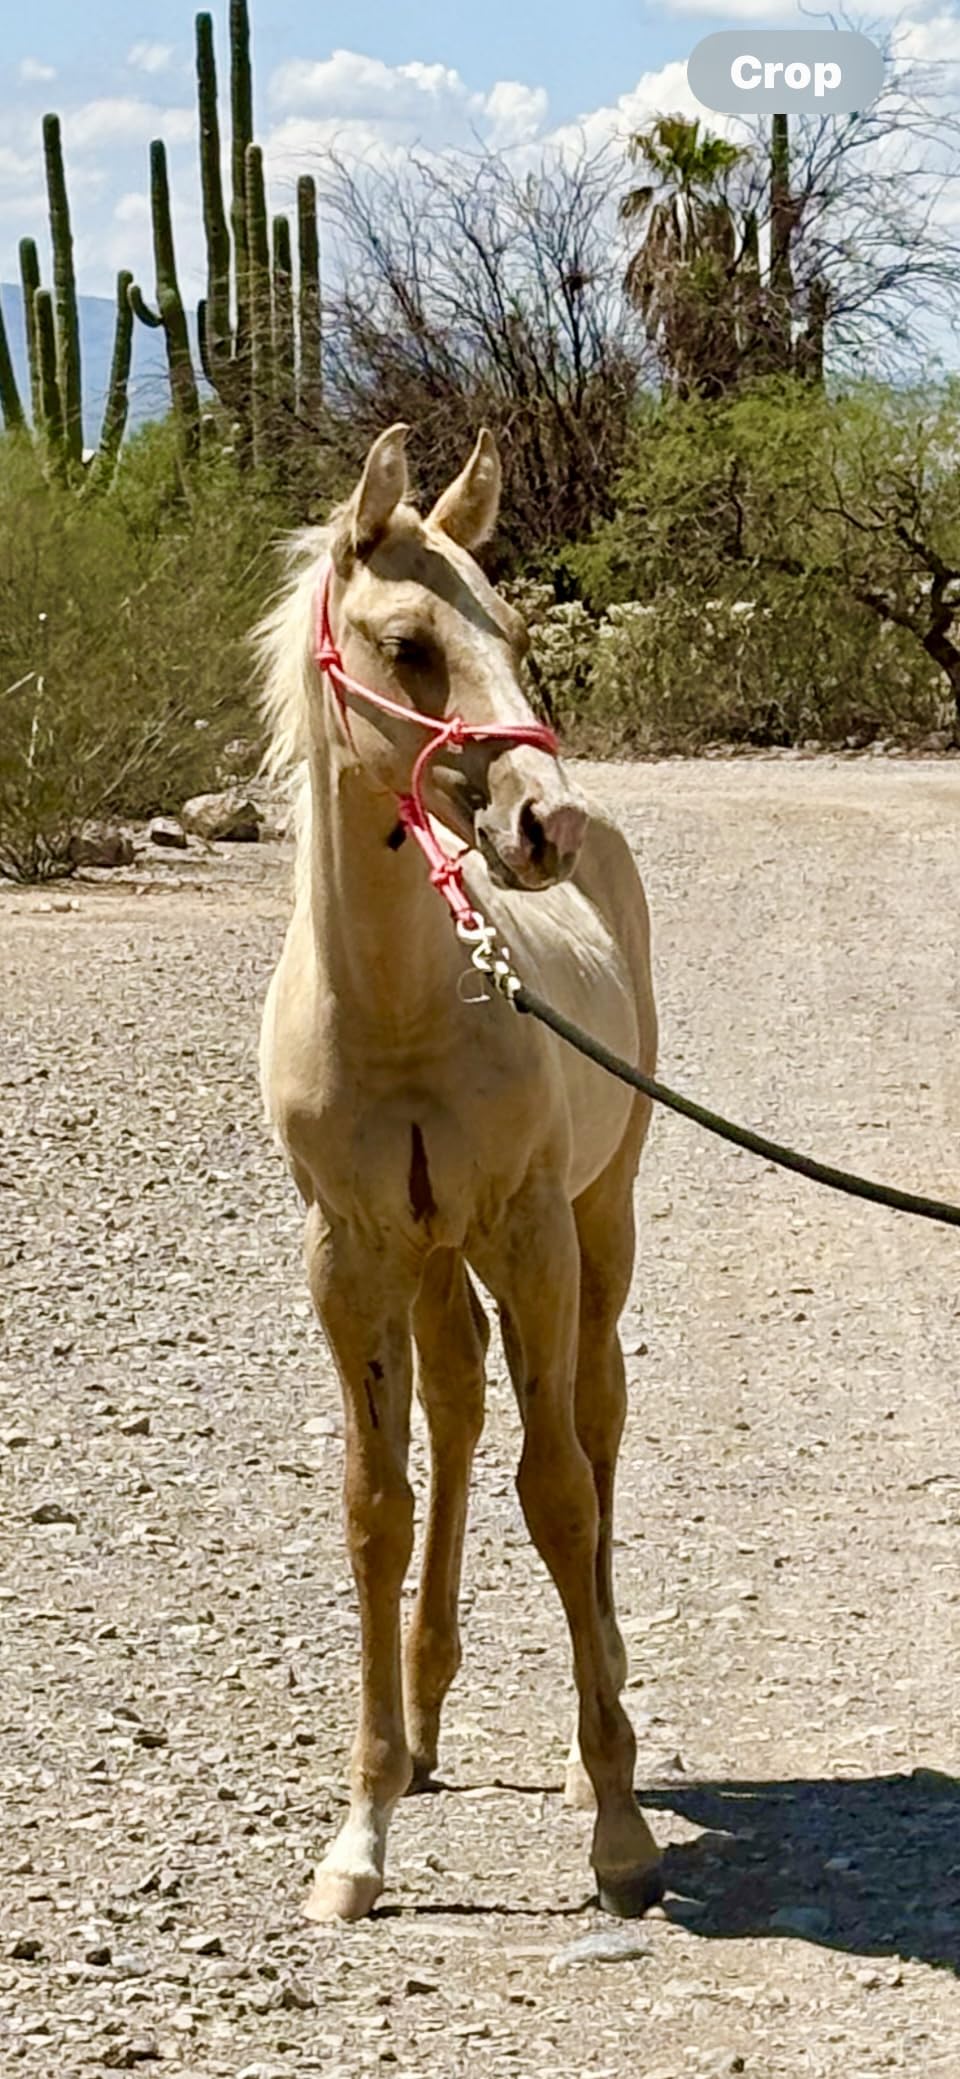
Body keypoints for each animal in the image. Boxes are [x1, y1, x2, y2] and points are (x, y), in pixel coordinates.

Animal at [258, 423, 662, 1923]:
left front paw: (619, 1825)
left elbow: (559, 1488)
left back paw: (600, 1687)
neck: (400, 1012)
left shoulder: (533, 1230)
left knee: (593, 1421)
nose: (542, 824)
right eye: (409, 643)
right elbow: (377, 1507)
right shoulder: (351, 1253)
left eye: (516, 636)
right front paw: (360, 1832)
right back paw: (428, 1720)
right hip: (439, 1265)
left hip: (597, 1222)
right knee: (459, 1413)